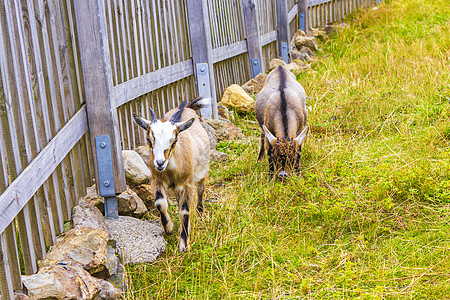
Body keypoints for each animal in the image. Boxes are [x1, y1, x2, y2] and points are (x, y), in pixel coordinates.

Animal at [133, 98, 212, 251]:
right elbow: (160, 203)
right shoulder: (156, 181)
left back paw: (200, 212)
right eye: (149, 140)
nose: (159, 163)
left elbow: (184, 211)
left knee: (201, 189)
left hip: (202, 171)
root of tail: (188, 108)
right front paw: (168, 228)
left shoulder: (186, 184)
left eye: (174, 140)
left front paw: (184, 245)